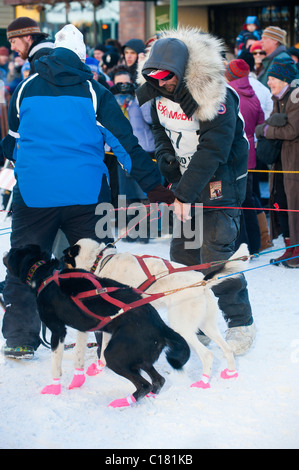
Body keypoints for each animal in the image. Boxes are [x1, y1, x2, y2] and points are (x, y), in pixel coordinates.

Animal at [2, 246, 190, 408]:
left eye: (12, 252)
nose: (4, 252)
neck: (44, 275)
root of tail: (160, 325)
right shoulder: (83, 328)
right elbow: (78, 355)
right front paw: (77, 380)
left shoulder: (57, 331)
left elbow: (55, 364)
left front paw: (54, 388)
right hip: (139, 358)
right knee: (158, 381)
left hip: (115, 356)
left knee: (144, 385)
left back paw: (123, 402)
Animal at [64, 239, 252, 390]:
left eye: (64, 258)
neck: (101, 260)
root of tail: (202, 282)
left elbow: (103, 349)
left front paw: (99, 367)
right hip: (207, 326)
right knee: (227, 349)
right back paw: (231, 373)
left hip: (182, 327)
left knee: (207, 355)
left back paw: (203, 382)